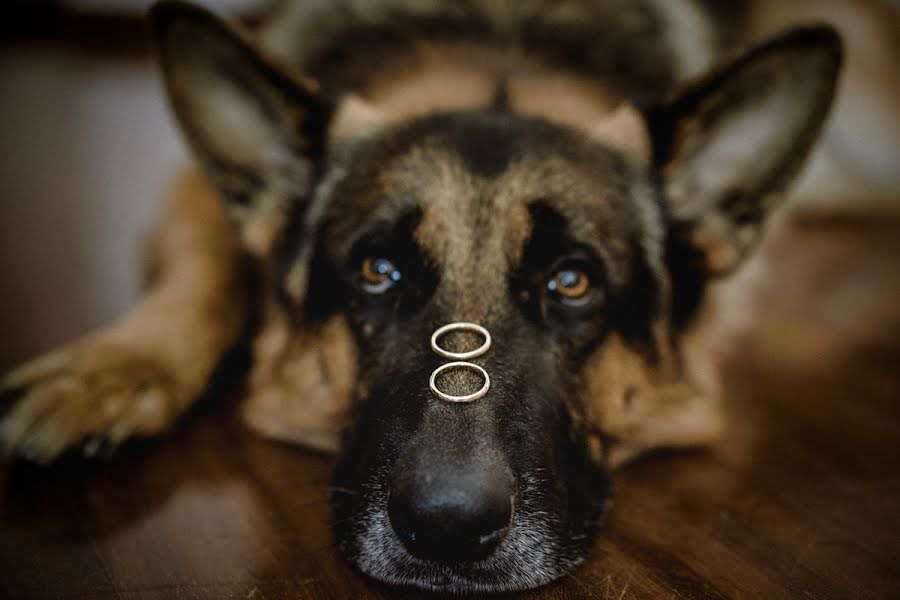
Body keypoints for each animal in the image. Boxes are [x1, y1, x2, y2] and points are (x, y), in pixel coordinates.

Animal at [1, 0, 844, 592]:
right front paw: (107, 372)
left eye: (572, 280)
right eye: (379, 271)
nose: (447, 526)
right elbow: (207, 269)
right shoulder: (190, 195)